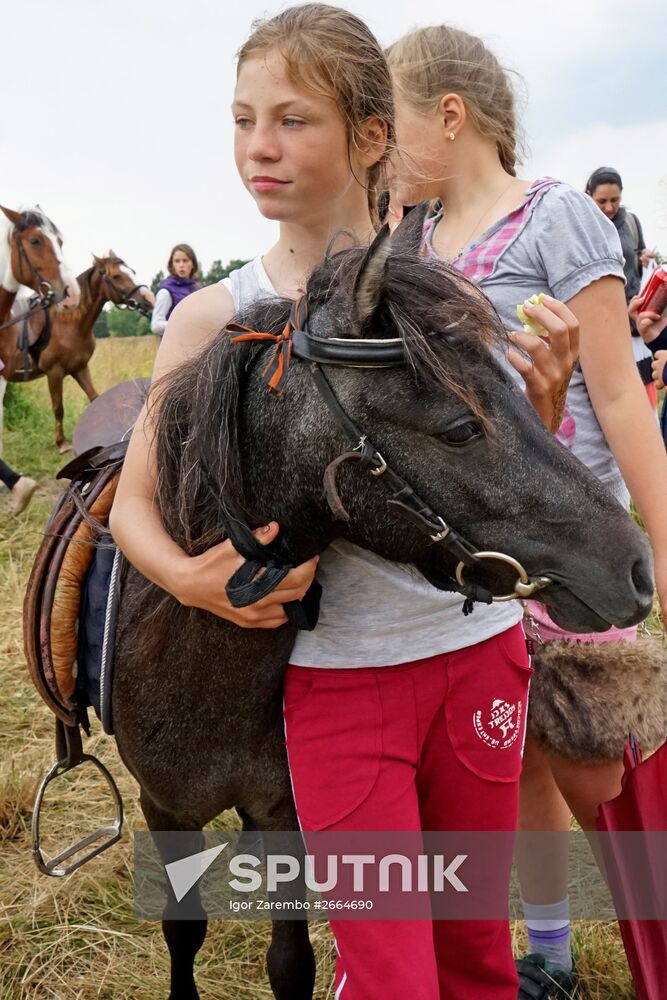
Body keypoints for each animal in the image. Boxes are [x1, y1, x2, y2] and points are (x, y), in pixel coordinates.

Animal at [1, 252, 153, 452]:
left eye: (132, 272)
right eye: (116, 276)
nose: (148, 301)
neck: (69, 323)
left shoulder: (80, 368)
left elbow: (94, 397)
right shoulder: (54, 373)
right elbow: (58, 407)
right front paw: (62, 443)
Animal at [112, 207, 656, 996]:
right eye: (460, 427)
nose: (638, 568)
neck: (194, 677)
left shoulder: (282, 808)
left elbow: (290, 959)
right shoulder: (164, 808)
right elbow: (182, 931)